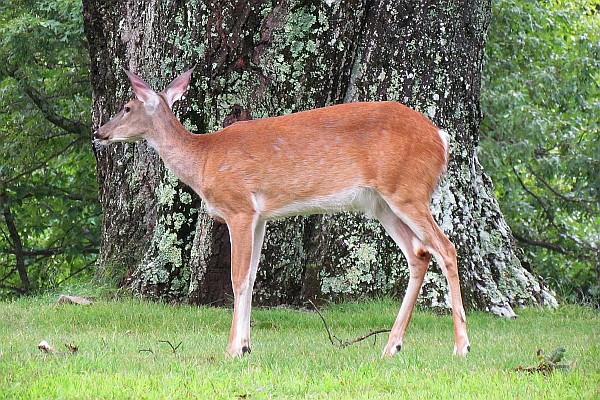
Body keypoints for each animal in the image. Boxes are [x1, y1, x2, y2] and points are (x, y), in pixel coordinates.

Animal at [92, 67, 468, 358]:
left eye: (126, 106)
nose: (99, 133)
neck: (203, 159)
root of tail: (441, 138)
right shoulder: (260, 217)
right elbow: (251, 276)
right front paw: (246, 346)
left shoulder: (239, 207)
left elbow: (237, 278)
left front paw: (232, 350)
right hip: (381, 203)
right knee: (419, 253)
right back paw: (392, 346)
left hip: (407, 190)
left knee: (446, 247)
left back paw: (460, 346)